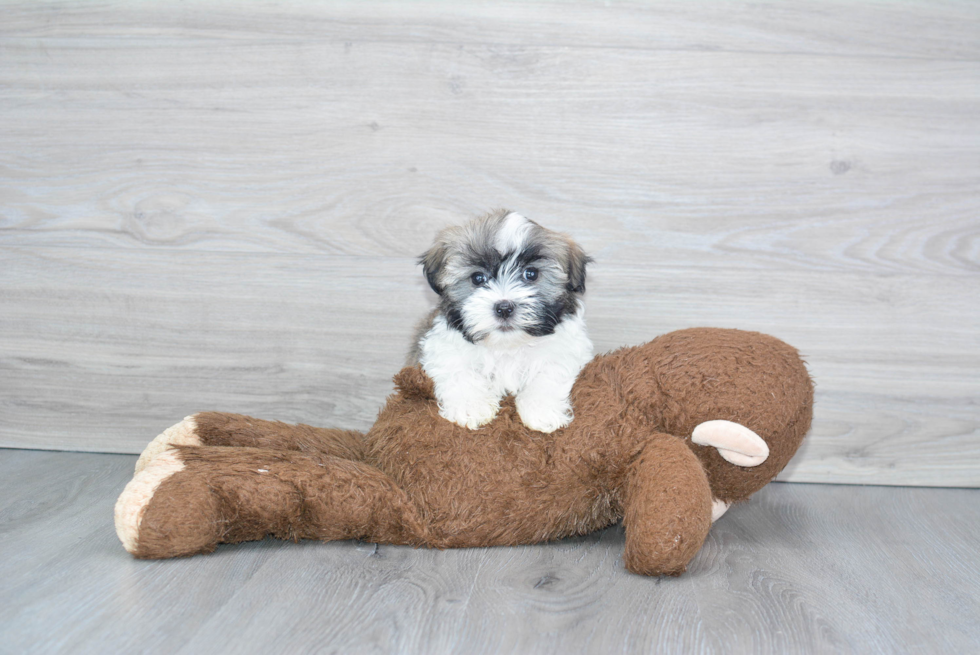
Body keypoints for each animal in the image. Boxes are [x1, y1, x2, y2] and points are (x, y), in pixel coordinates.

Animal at [410, 211, 592, 436]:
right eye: (478, 278)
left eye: (531, 274)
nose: (504, 308)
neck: (507, 346)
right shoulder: (440, 345)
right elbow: (457, 370)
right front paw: (472, 407)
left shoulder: (567, 347)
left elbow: (549, 373)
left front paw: (541, 410)